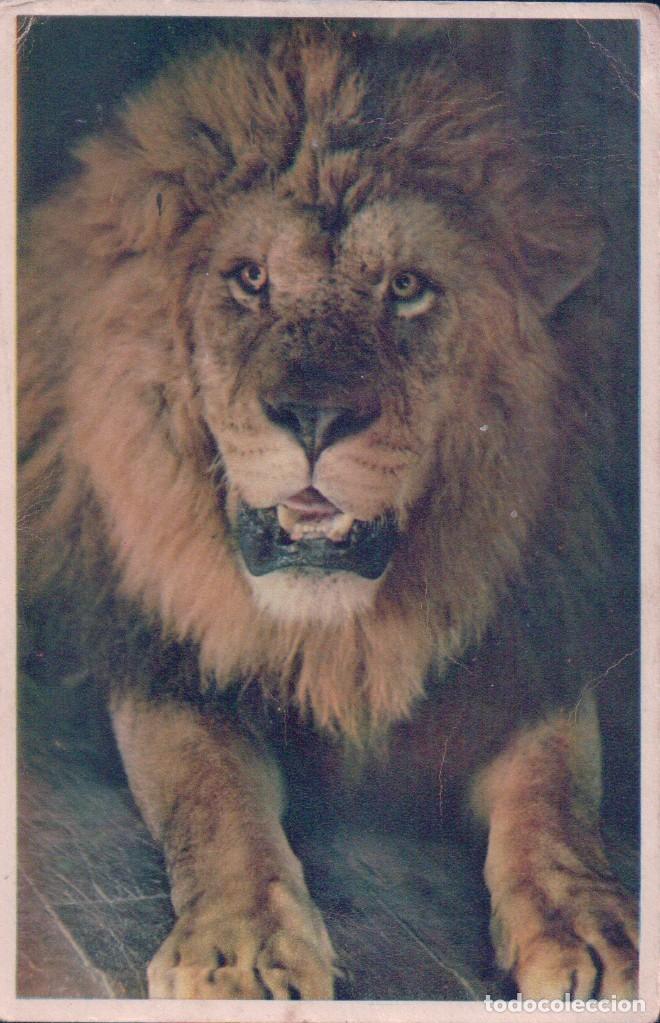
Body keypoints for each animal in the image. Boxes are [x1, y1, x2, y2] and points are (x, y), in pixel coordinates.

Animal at [18, 24, 638, 1001]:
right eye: (249, 279)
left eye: (408, 287)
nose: (313, 418)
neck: (341, 634)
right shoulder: (171, 662)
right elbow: (212, 792)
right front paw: (242, 953)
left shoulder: (525, 640)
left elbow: (555, 788)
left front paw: (590, 931)